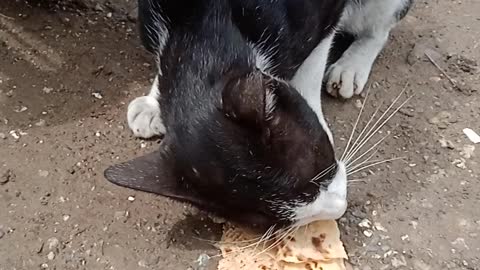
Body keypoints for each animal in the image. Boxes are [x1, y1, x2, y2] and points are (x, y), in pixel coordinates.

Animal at [106, 0, 412, 228]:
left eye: (323, 165)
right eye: (266, 220)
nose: (340, 208)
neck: (206, 26)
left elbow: (314, 60)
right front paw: (153, 103)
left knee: (379, 27)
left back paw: (352, 65)